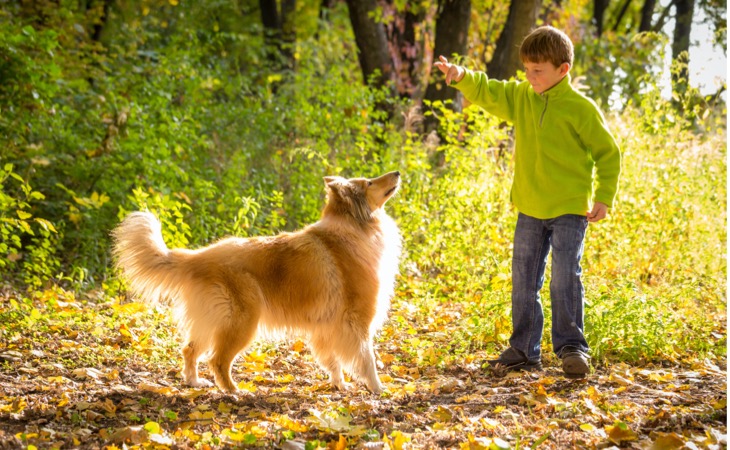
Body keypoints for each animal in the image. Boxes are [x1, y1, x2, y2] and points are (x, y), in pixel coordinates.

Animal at [111, 172, 400, 394]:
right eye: (369, 182)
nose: (397, 172)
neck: (351, 227)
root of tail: (199, 257)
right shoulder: (357, 320)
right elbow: (367, 358)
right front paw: (378, 389)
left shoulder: (326, 327)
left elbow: (333, 360)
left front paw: (340, 385)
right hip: (242, 322)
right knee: (217, 360)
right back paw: (234, 391)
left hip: (210, 319)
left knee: (189, 350)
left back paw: (195, 382)